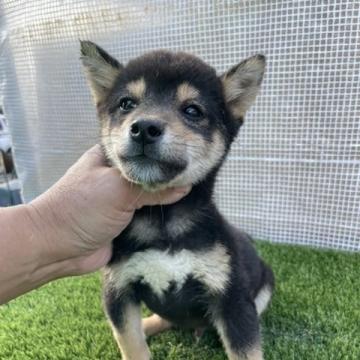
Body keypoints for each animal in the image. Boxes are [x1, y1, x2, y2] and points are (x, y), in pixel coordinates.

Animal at [80, 40, 274, 360]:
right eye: (126, 104)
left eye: (192, 110)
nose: (144, 128)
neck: (163, 219)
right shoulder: (118, 292)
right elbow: (132, 345)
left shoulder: (232, 299)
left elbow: (245, 349)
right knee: (164, 319)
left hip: (265, 283)